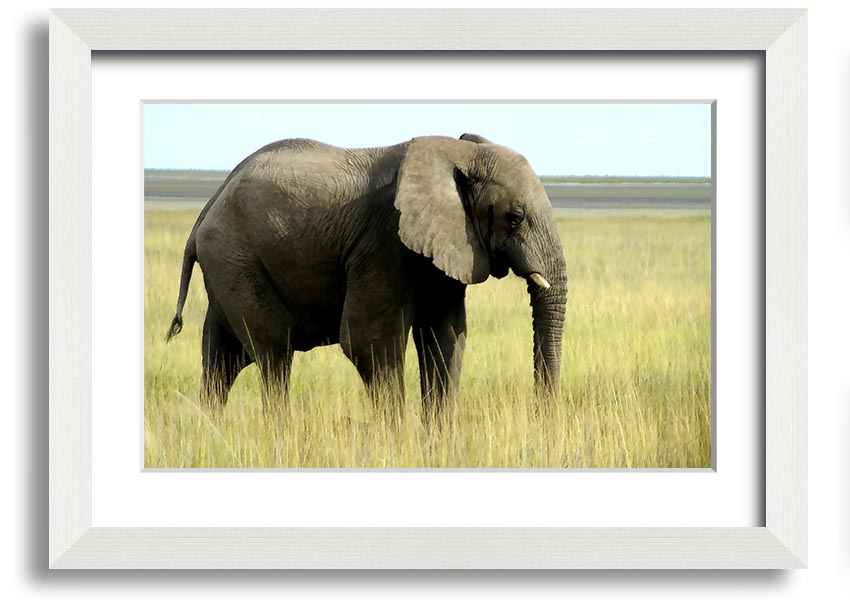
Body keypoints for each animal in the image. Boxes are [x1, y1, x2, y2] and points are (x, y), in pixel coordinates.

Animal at [163, 133, 568, 420]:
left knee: (222, 358)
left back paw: (212, 431)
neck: (456, 153)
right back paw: (279, 434)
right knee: (274, 352)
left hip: (228, 266)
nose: (541, 419)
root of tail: (206, 209)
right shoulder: (384, 242)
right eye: (514, 217)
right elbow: (369, 342)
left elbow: (446, 336)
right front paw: (399, 444)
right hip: (236, 259)